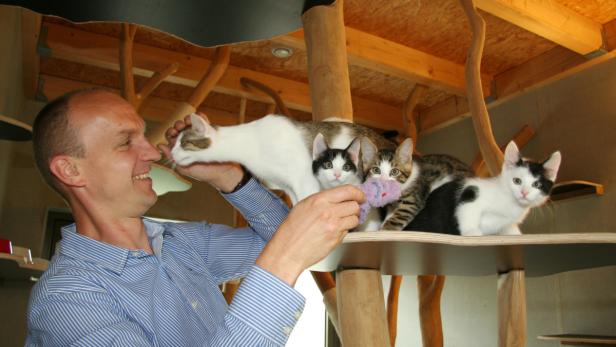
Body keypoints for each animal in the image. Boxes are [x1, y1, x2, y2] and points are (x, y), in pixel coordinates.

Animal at [406, 141, 560, 237]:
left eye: (537, 185)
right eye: (517, 181)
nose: (524, 193)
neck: (510, 203)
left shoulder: (507, 223)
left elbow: (509, 229)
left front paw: (516, 234)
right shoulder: (472, 191)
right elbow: (466, 210)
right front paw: (471, 232)